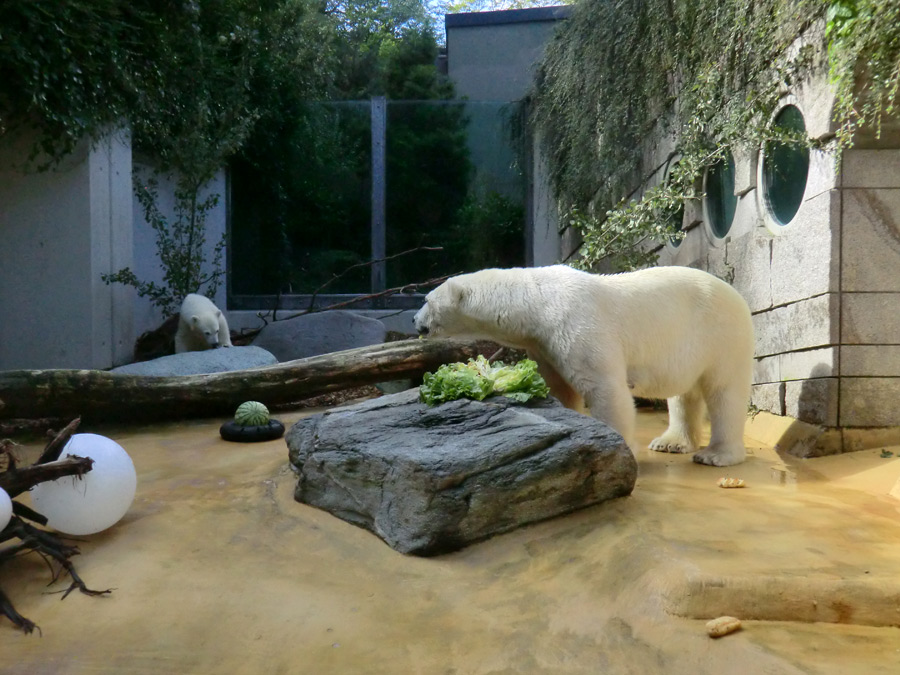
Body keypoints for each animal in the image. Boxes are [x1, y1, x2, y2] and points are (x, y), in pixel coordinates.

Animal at [414, 264, 752, 464]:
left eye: (427, 300)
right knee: (684, 393)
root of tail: (739, 297)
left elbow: (604, 388)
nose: (415, 320)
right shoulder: (544, 344)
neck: (537, 301)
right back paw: (671, 443)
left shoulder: (576, 324)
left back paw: (716, 455)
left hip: (721, 335)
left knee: (725, 391)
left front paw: (618, 448)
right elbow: (561, 388)